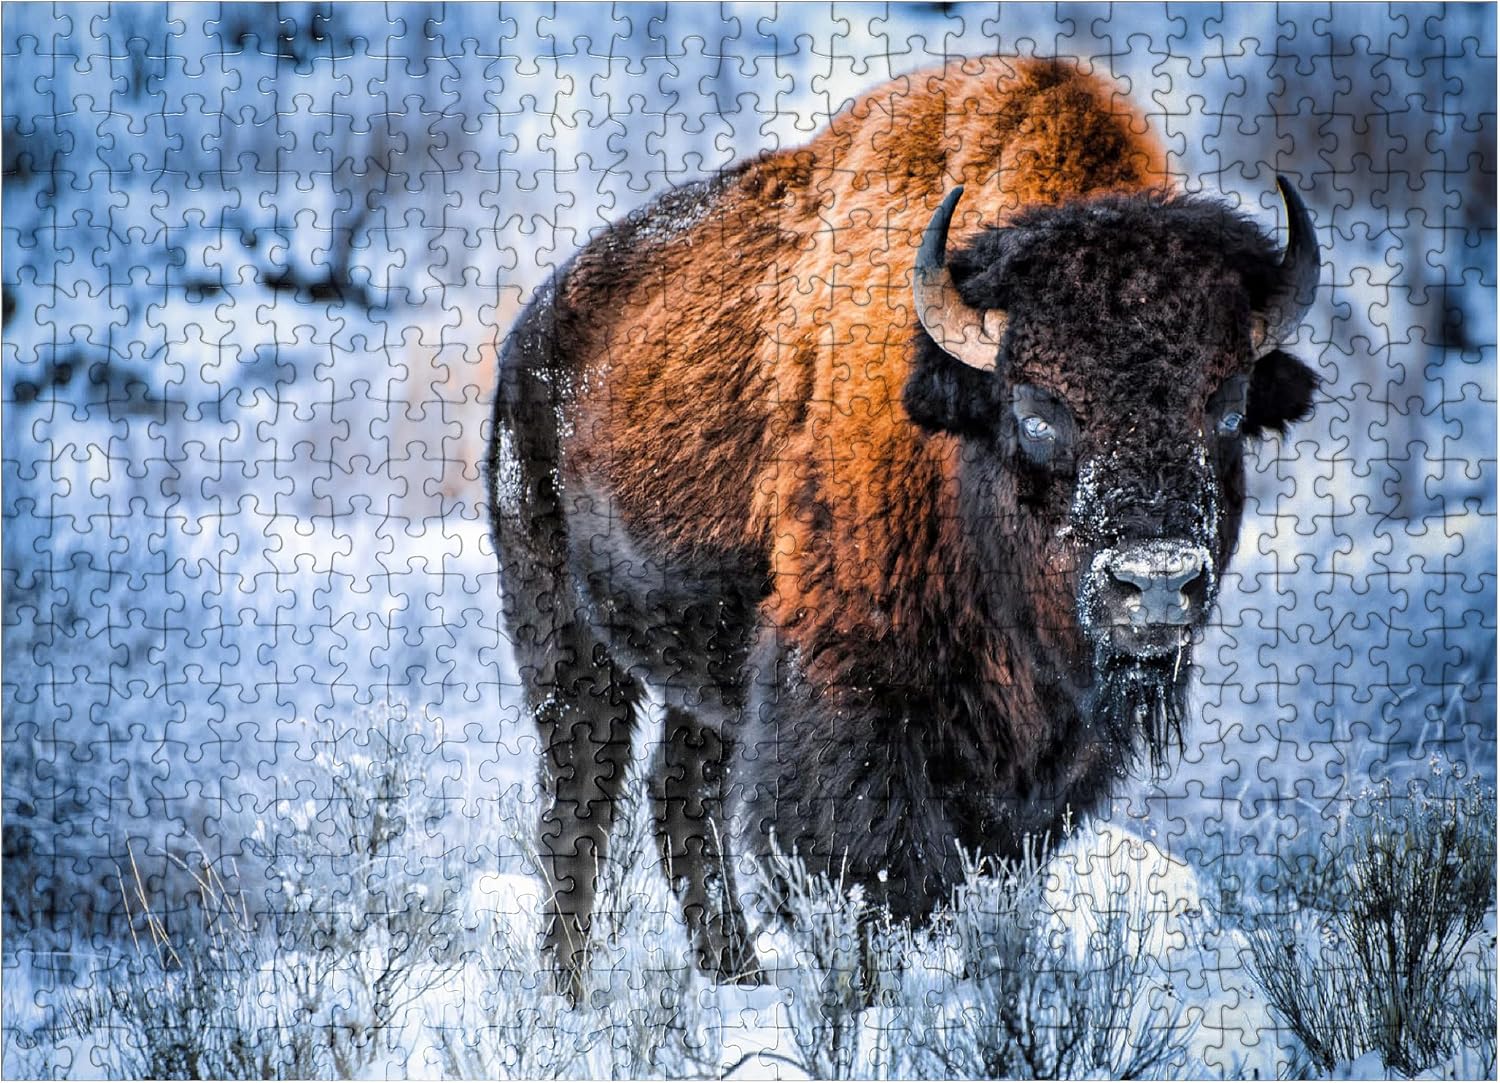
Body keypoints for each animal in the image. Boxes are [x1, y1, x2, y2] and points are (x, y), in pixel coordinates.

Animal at [488, 56, 1321, 990]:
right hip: (564, 636)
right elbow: (886, 871)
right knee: (579, 806)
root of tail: (532, 335)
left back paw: (738, 975)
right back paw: (569, 988)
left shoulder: (1047, 752)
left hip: (704, 673)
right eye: (1037, 412)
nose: (1157, 581)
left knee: (681, 799)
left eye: (1228, 407)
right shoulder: (848, 691)